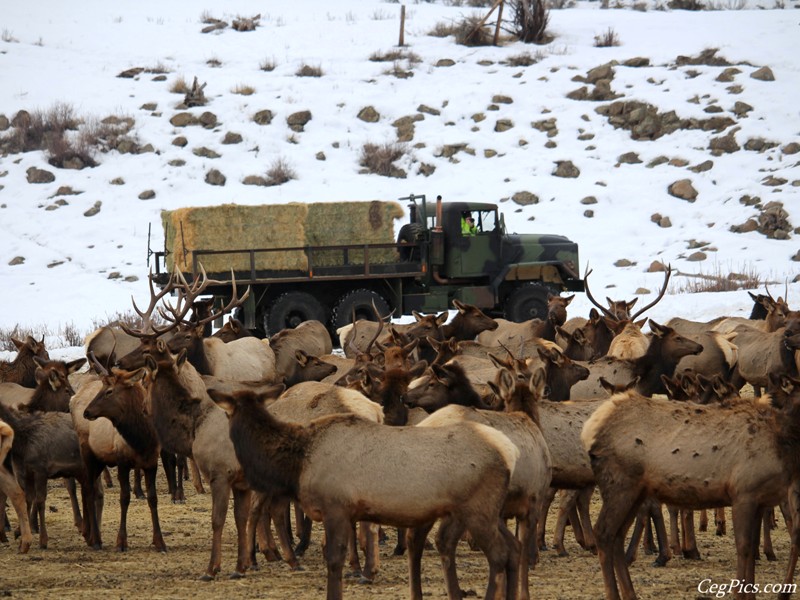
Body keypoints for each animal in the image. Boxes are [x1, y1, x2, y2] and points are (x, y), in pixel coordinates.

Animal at [208, 382, 520, 600]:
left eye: (227, 413)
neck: (297, 463)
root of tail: (510, 451)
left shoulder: (335, 506)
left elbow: (335, 561)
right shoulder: (348, 511)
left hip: (477, 510)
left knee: (499, 554)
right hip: (486, 511)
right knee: (513, 548)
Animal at [580, 376, 800, 600]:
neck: (783, 444)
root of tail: (591, 427)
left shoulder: (761, 500)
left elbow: (753, 548)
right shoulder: (744, 493)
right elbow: (744, 547)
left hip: (635, 492)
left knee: (617, 536)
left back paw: (630, 593)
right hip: (620, 485)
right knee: (603, 532)